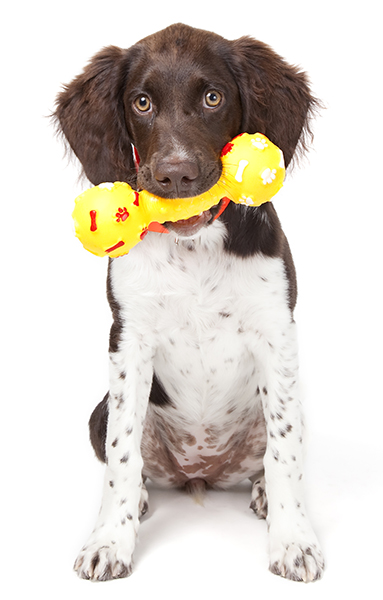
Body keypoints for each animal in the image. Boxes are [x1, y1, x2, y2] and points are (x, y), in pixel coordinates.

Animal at [54, 22, 324, 580]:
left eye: (212, 97)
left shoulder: (276, 331)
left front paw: (293, 540)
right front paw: (109, 541)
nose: (175, 175)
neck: (195, 246)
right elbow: (121, 456)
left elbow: (284, 453)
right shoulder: (128, 338)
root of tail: (202, 473)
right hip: (97, 413)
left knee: (272, 453)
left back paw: (264, 497)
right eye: (141, 103)